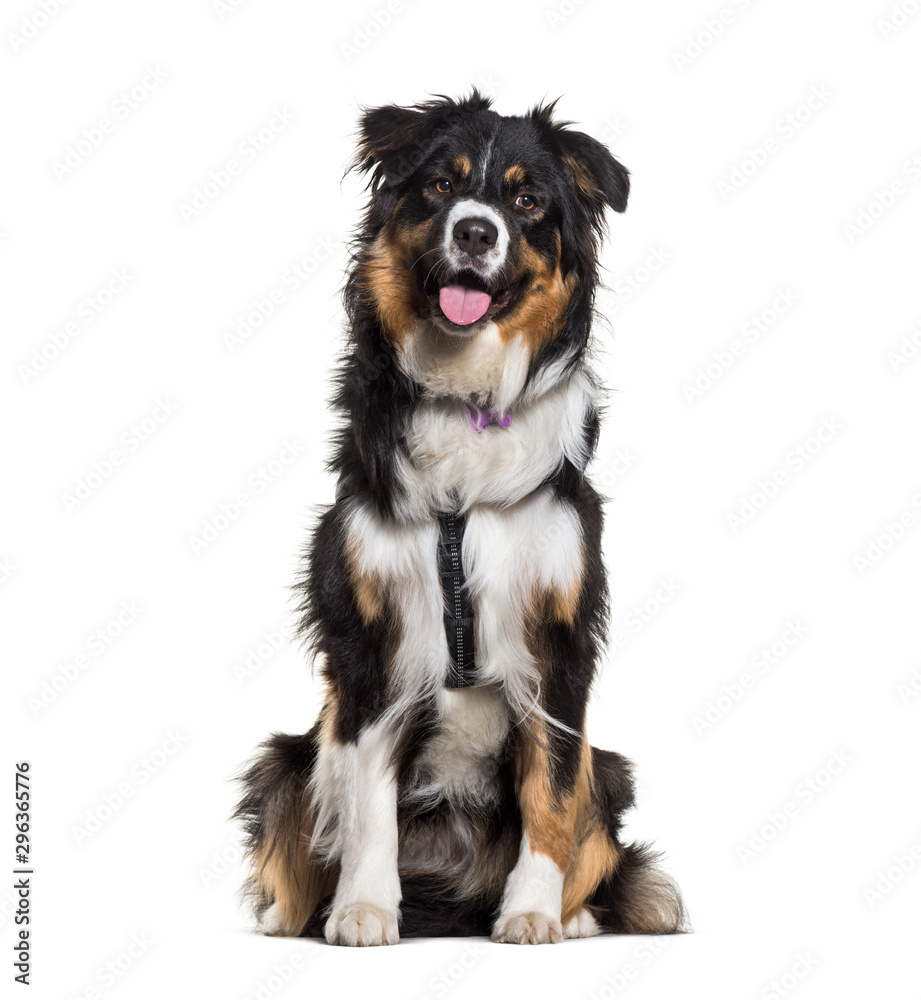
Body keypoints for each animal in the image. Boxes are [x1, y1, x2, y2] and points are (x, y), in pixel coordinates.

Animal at [234, 88, 688, 944]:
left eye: (527, 201)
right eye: (441, 186)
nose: (475, 231)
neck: (465, 400)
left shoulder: (560, 640)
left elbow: (552, 790)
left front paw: (534, 914)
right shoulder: (369, 641)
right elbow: (367, 795)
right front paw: (364, 910)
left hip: (609, 767)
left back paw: (574, 915)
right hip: (284, 760)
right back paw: (291, 913)